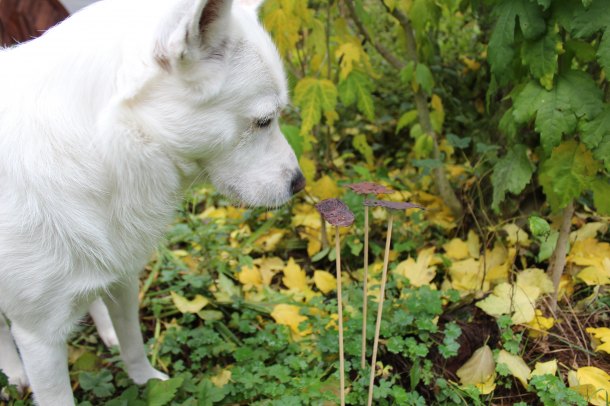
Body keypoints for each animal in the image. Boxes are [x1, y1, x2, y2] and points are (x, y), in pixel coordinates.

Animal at [0, 0, 304, 402]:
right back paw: (13, 372)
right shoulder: (39, 338)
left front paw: (147, 383)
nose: (299, 184)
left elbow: (134, 345)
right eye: (264, 121)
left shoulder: (125, 281)